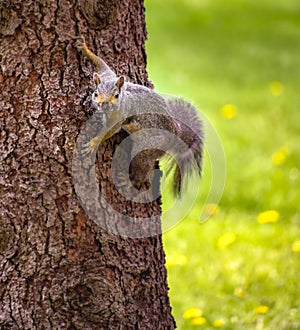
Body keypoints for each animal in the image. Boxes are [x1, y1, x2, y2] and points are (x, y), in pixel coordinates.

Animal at [75, 34, 204, 197]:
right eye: (96, 93)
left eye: (116, 95)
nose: (103, 104)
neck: (123, 98)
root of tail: (176, 133)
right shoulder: (107, 76)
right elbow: (103, 65)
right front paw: (85, 48)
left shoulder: (120, 117)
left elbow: (110, 131)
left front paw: (93, 144)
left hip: (148, 146)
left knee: (141, 168)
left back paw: (128, 180)